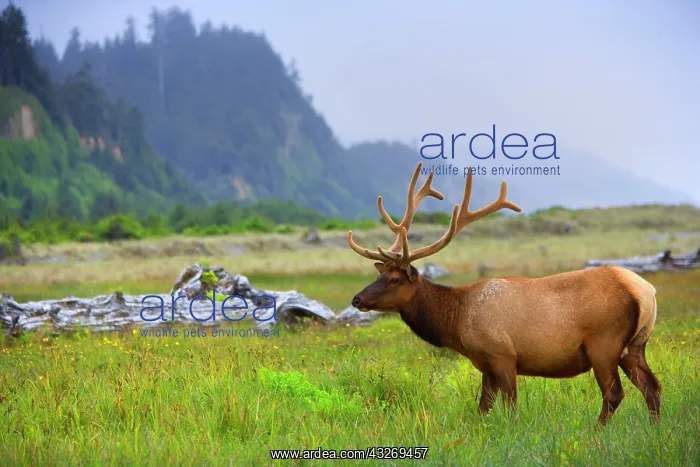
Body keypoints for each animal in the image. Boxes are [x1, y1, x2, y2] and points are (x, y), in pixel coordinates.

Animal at [347, 162, 661, 425]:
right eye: (379, 274)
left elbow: (510, 407)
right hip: (635, 345)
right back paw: (654, 428)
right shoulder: (485, 364)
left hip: (604, 343)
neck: (457, 320)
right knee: (653, 386)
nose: (357, 299)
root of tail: (646, 290)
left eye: (395, 279)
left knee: (615, 393)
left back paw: (597, 431)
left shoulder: (503, 354)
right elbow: (483, 408)